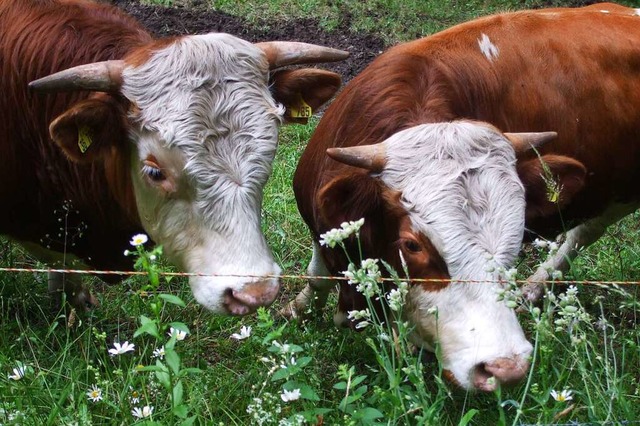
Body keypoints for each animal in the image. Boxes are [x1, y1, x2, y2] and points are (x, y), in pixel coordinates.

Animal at [288, 2, 640, 390]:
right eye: (412, 245)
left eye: (516, 241)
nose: (505, 367)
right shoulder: (319, 221)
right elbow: (316, 273)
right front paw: (298, 308)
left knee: (585, 231)